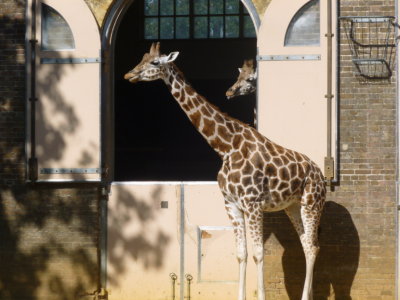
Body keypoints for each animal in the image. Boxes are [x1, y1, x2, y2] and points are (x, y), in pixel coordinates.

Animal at [124, 42, 324, 300]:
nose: (129, 75)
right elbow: (241, 254)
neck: (226, 147)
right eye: (141, 58)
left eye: (155, 62)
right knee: (306, 244)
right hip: (292, 206)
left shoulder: (253, 203)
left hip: (312, 204)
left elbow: (259, 253)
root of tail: (321, 174)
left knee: (312, 246)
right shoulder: (231, 204)